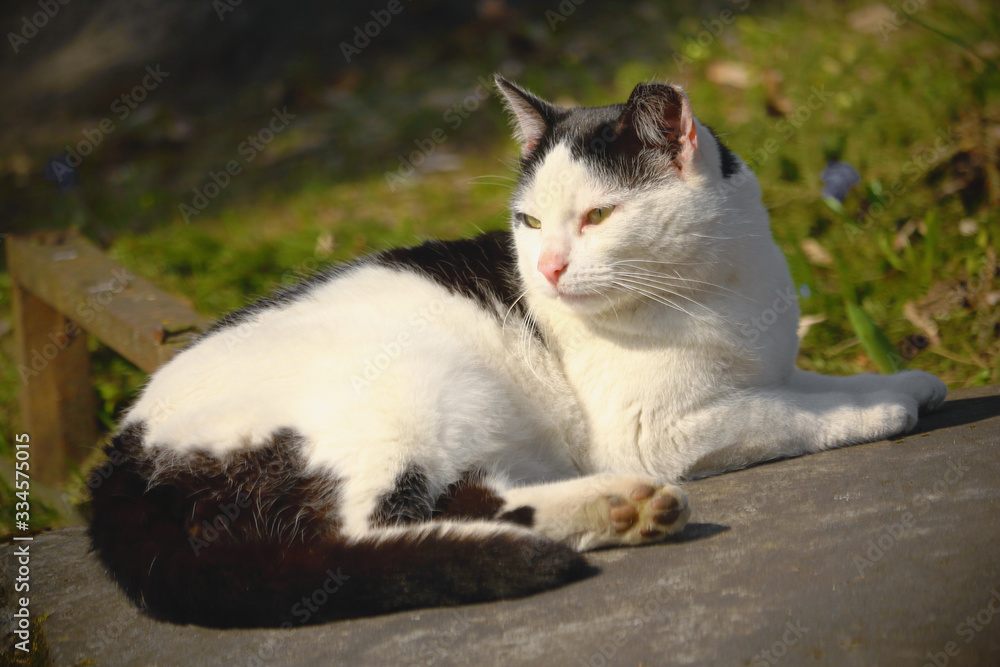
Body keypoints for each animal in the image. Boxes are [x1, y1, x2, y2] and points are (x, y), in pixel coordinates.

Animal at [86, 75, 944, 628]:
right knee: (361, 534)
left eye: (597, 216)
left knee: (473, 496)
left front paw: (906, 377)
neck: (718, 285)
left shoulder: (770, 365)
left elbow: (804, 381)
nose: (549, 269)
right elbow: (788, 413)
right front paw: (881, 407)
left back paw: (619, 508)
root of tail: (119, 456)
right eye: (529, 224)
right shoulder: (655, 430)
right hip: (408, 390)